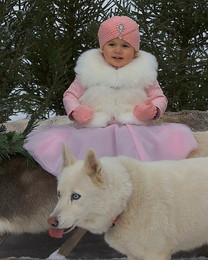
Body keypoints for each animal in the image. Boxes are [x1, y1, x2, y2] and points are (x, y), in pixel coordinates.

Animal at [48, 144, 208, 260]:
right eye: (59, 194)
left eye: (75, 196)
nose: (51, 222)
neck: (127, 200)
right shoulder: (133, 255)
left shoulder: (157, 254)